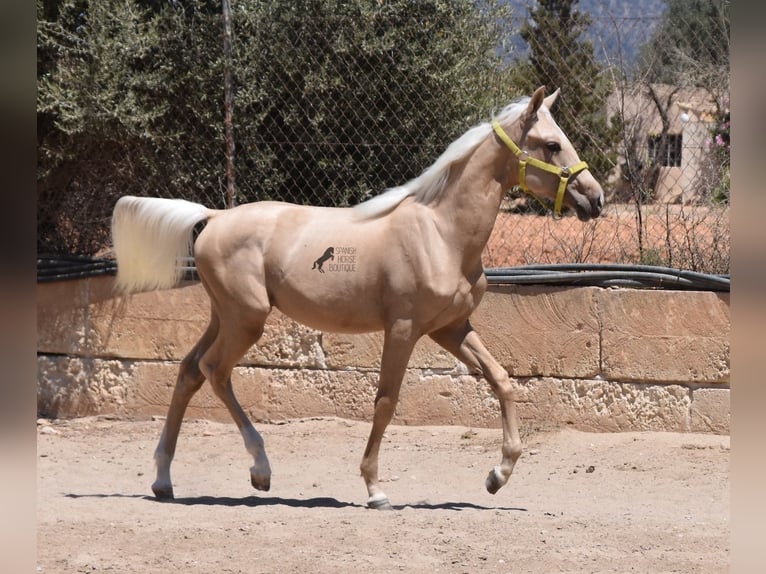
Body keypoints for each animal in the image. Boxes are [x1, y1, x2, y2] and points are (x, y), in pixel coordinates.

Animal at [112, 85, 608, 508]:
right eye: (551, 145)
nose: (596, 199)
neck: (441, 233)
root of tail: (213, 216)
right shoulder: (404, 329)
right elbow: (386, 401)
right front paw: (374, 488)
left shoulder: (450, 328)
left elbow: (501, 380)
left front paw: (497, 476)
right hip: (246, 319)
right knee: (215, 371)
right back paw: (260, 470)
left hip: (226, 316)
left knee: (188, 371)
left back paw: (163, 481)